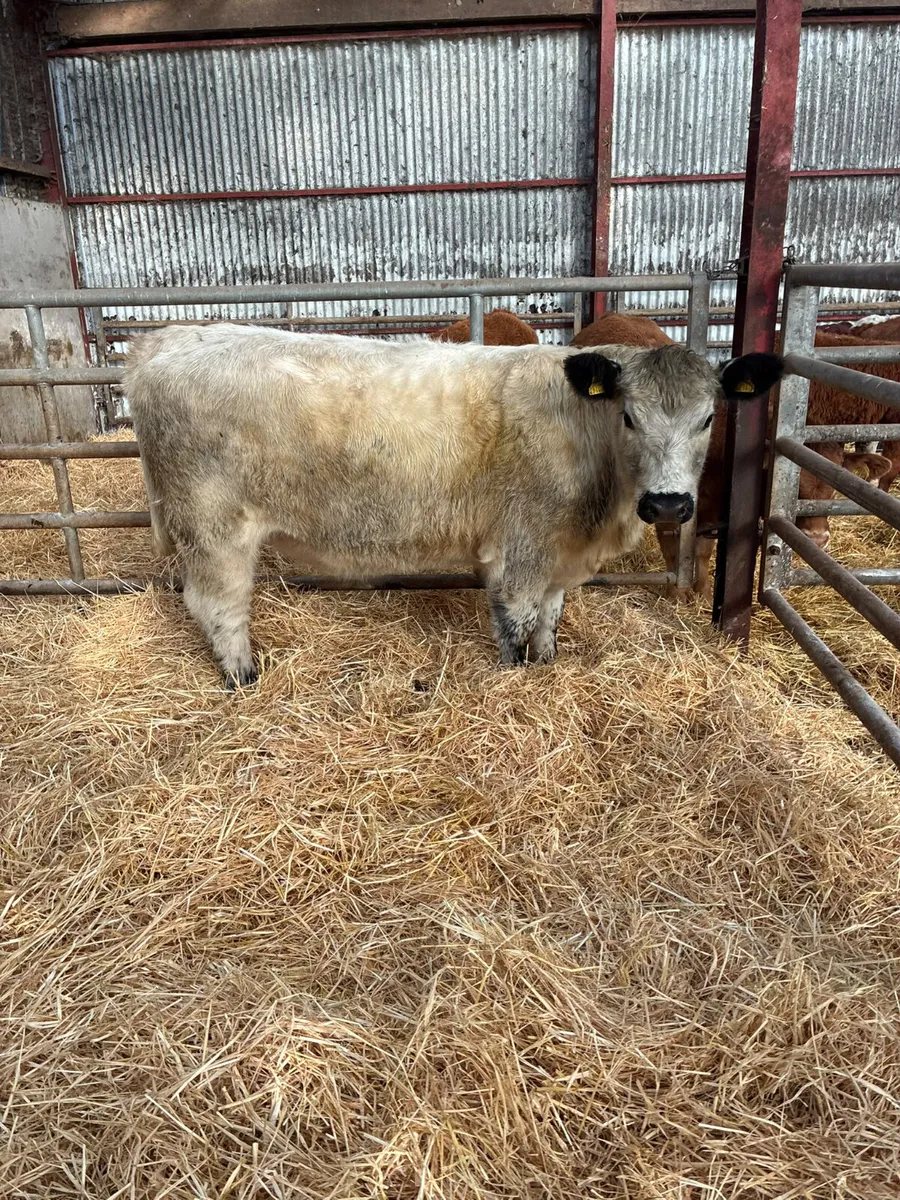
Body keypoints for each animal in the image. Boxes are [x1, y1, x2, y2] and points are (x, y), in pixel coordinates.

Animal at [126, 324, 782, 686]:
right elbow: (516, 624)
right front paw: (516, 682)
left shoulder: (556, 554)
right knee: (218, 605)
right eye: (629, 416)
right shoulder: (520, 549)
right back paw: (242, 677)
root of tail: (168, 338)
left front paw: (548, 667)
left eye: (708, 418)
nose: (669, 505)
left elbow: (550, 620)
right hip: (214, 528)